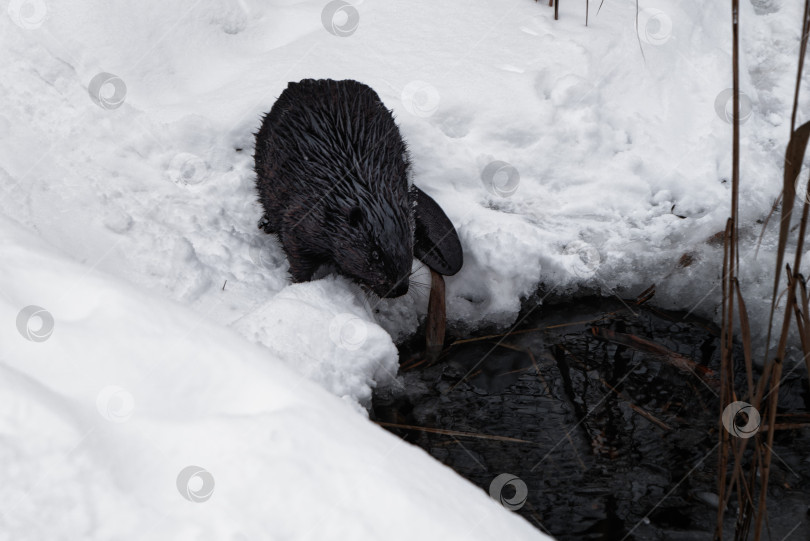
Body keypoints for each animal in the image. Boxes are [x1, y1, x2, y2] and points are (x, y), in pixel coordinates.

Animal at [252, 78, 460, 298]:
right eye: (375, 254)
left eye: (410, 246)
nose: (399, 289)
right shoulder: (302, 216)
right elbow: (297, 255)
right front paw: (299, 285)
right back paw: (265, 223)